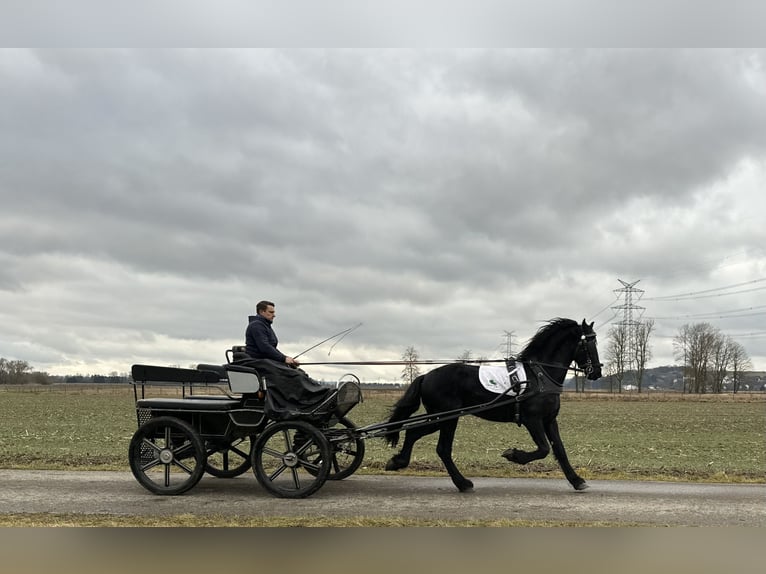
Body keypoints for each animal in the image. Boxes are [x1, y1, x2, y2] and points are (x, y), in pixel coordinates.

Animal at [388, 318, 604, 492]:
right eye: (589, 342)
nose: (597, 372)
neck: (539, 375)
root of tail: (426, 376)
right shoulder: (532, 420)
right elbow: (544, 449)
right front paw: (514, 455)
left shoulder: (549, 420)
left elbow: (559, 450)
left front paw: (577, 481)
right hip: (447, 418)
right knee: (442, 449)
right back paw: (463, 483)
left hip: (440, 418)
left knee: (413, 433)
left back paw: (398, 462)